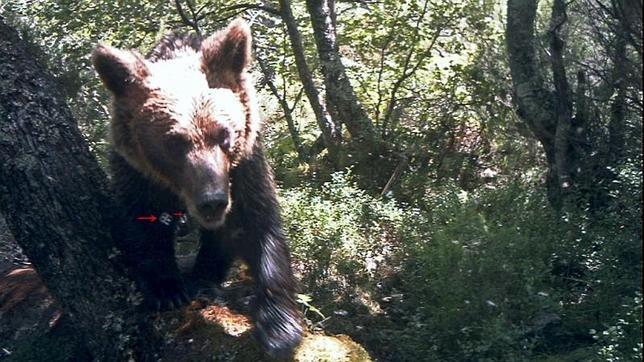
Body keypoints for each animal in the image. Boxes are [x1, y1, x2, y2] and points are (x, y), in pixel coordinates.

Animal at [90, 19, 304, 356]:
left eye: (224, 133)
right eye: (174, 141)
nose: (212, 201)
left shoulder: (244, 169)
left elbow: (256, 226)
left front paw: (280, 328)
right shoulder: (137, 173)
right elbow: (140, 223)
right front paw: (166, 289)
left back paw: (204, 281)